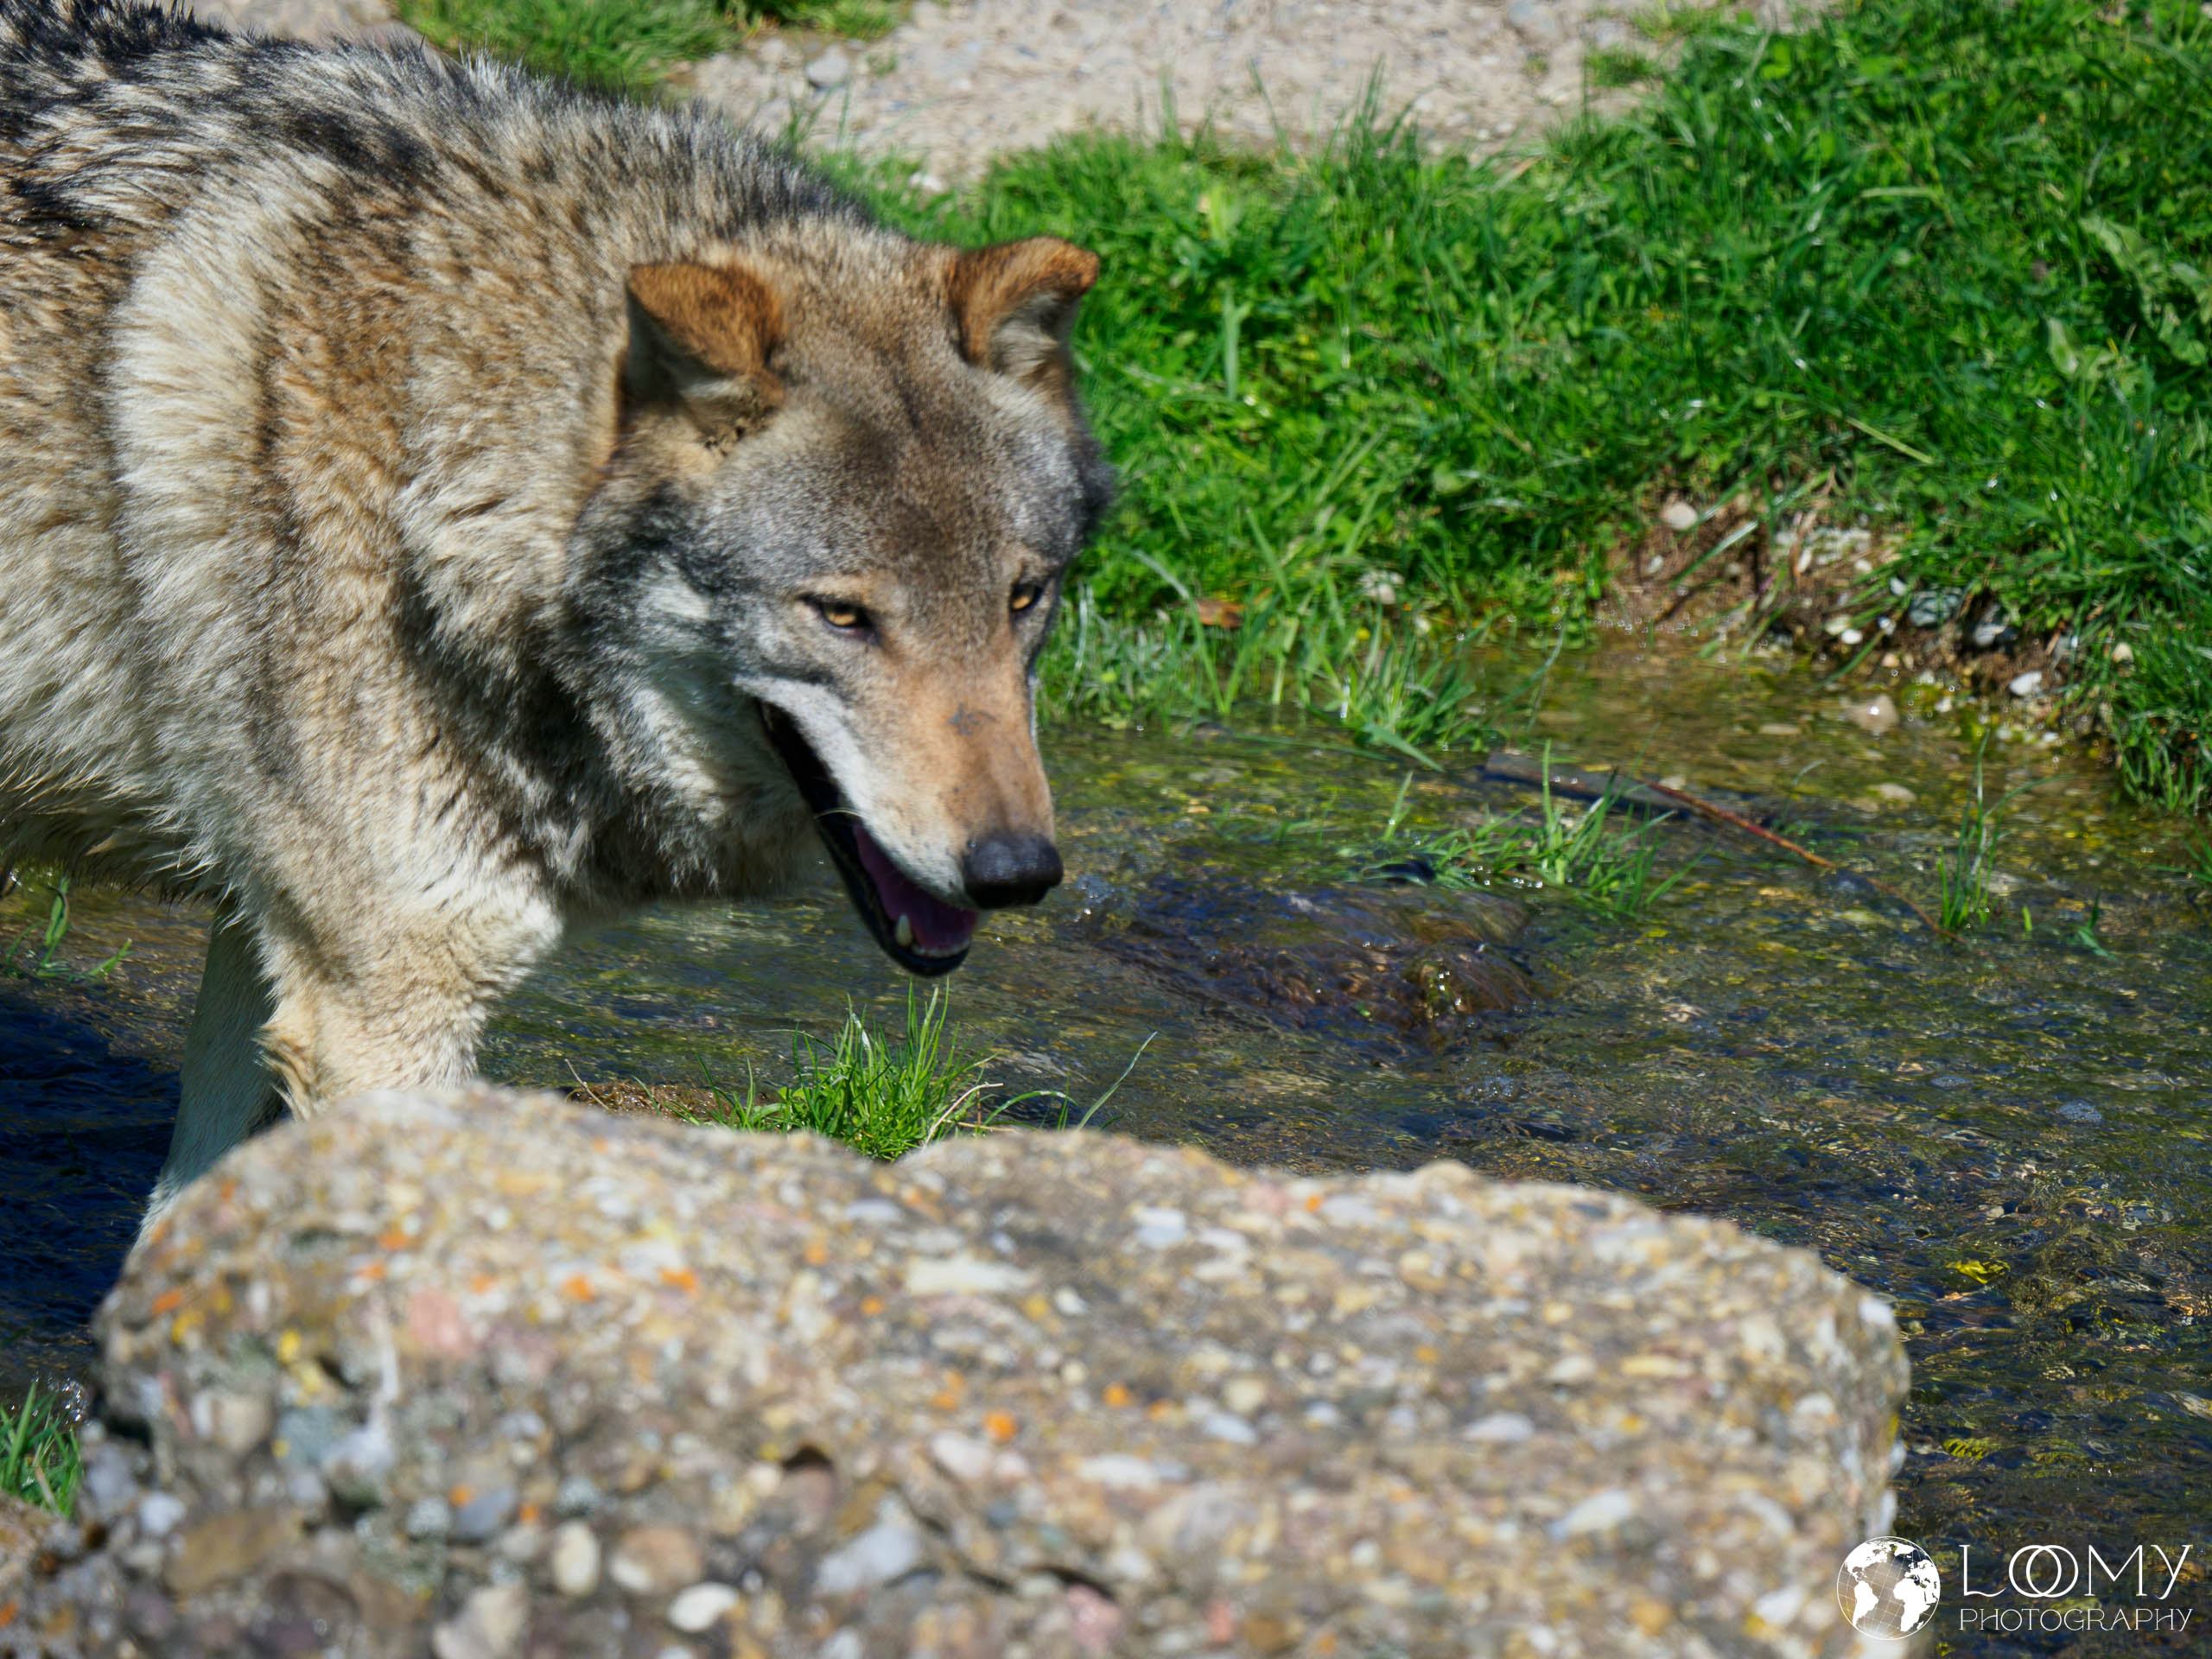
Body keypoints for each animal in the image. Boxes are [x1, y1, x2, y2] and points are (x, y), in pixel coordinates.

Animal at [0, 0, 1113, 1223]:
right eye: (841, 615)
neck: (432, 459)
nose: (1015, 871)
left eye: (1023, 597)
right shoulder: (381, 1012)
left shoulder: (281, 944)